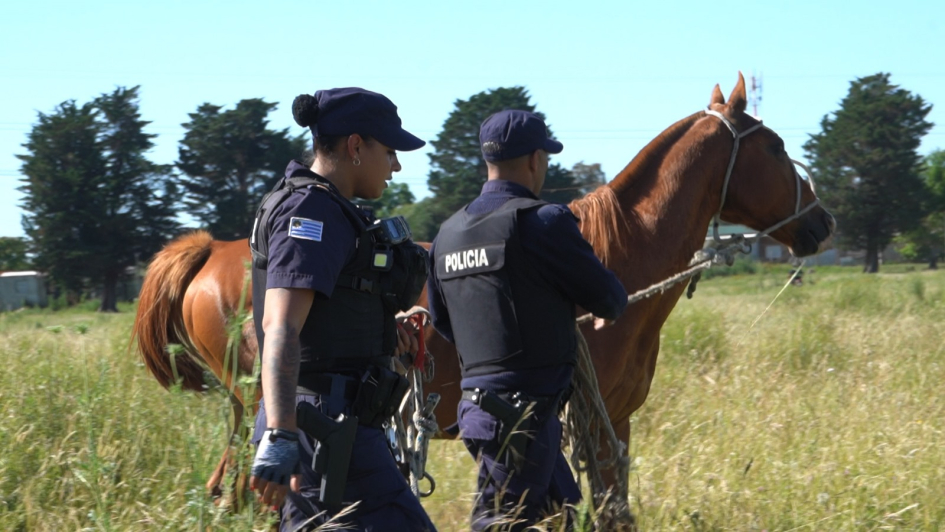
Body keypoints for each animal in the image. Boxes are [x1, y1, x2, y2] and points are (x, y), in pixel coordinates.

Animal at [132, 73, 835, 502]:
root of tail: (211, 253)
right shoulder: (587, 421)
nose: (823, 221)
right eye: (775, 146)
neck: (618, 257)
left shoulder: (616, 424)